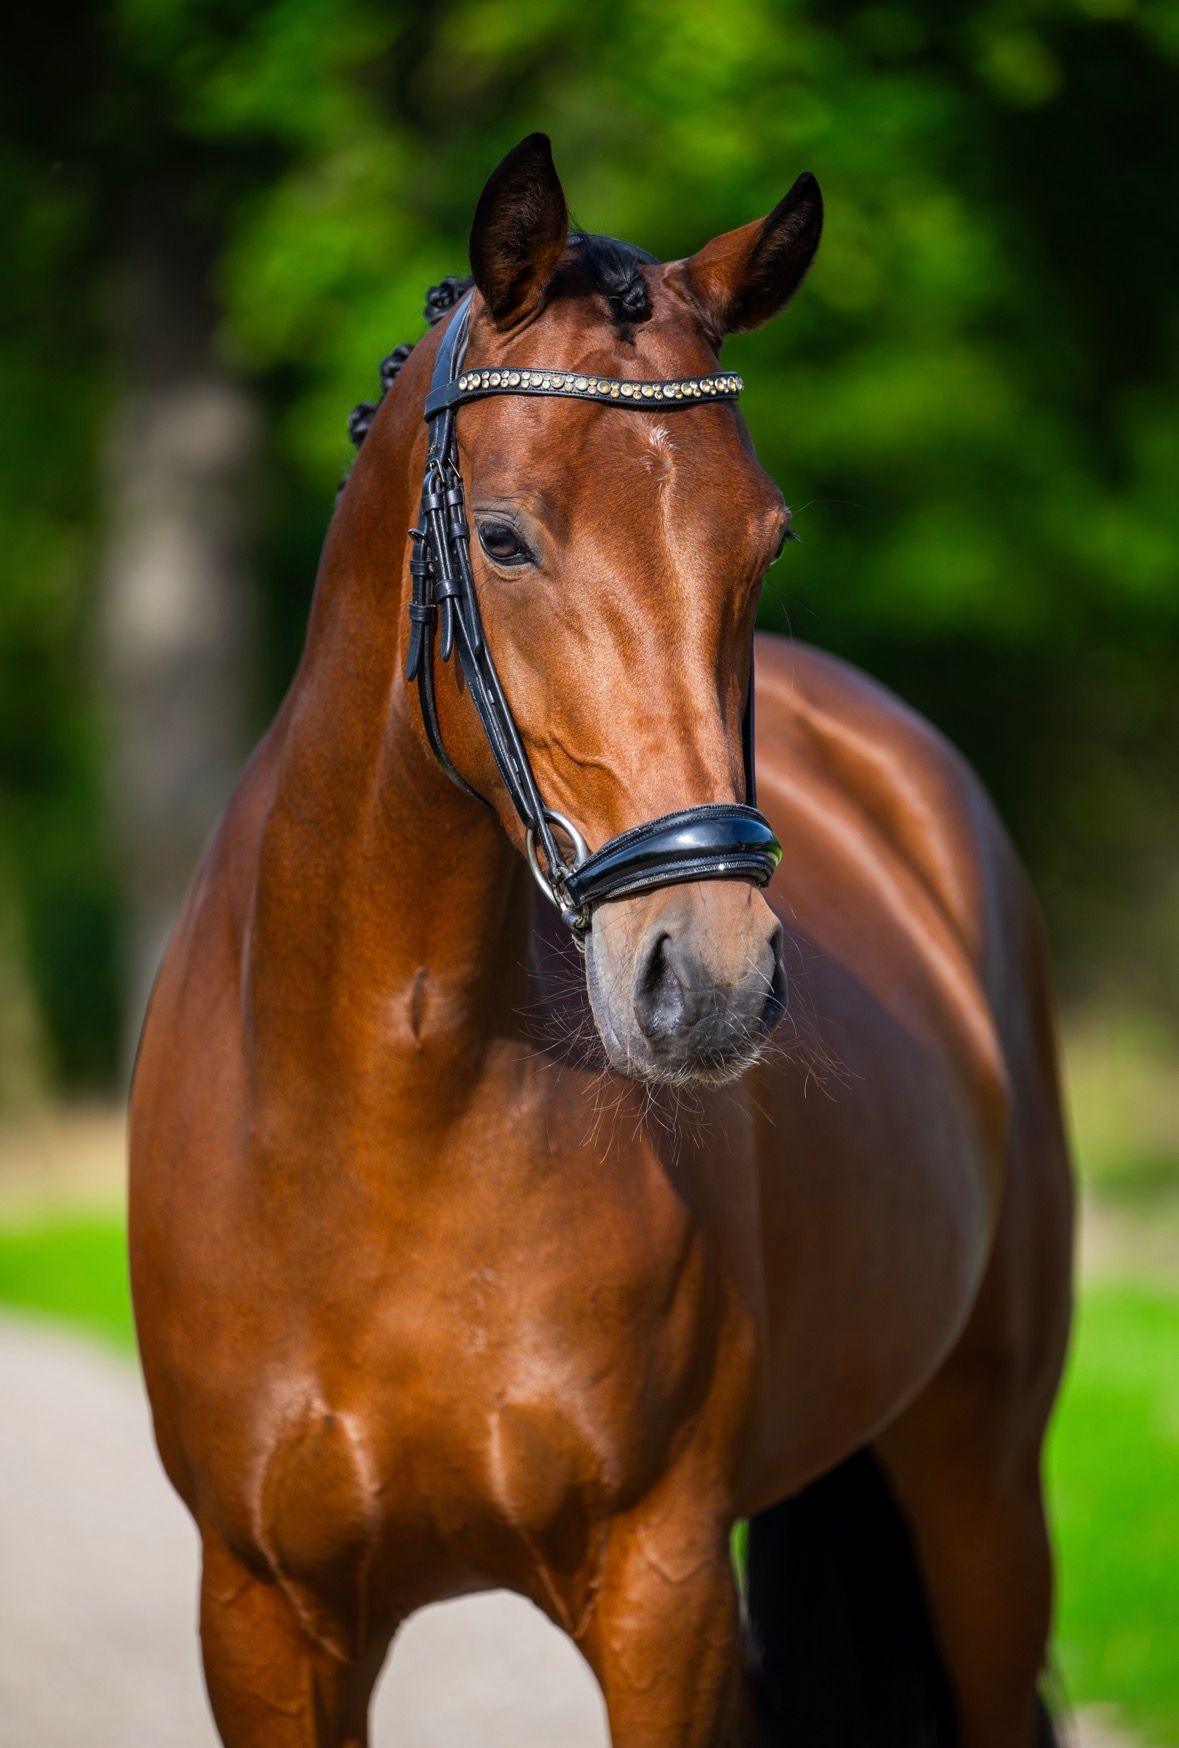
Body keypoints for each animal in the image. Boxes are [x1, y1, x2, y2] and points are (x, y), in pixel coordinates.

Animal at [129, 133, 1074, 1748]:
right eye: (502, 538)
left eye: (766, 537)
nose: (711, 978)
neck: (386, 1113)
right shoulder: (259, 1616)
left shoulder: (660, 1590)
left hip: (983, 1490)